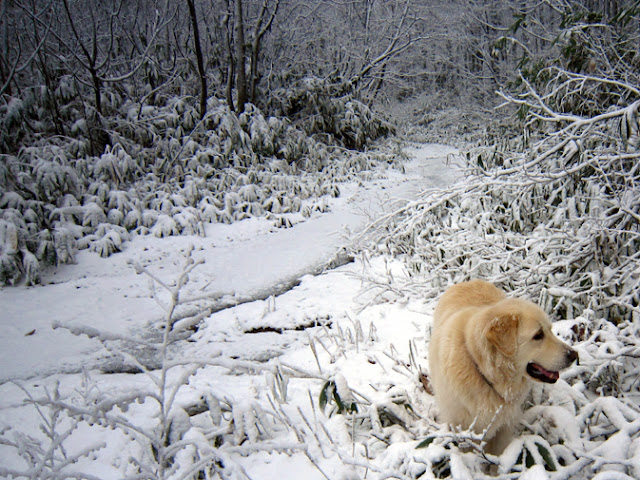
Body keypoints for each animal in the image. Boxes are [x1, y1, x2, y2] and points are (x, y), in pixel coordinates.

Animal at [428, 278, 576, 454]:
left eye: (550, 330)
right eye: (538, 335)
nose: (574, 355)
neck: (482, 370)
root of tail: (469, 281)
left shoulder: (504, 427)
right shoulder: (462, 429)